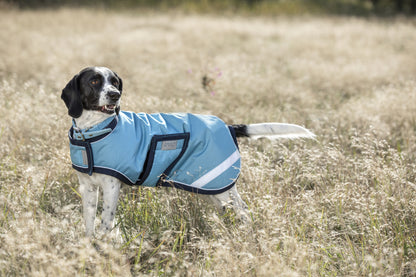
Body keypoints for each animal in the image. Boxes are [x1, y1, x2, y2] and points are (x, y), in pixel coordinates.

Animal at [61, 66, 316, 236]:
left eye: (115, 82)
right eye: (95, 81)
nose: (115, 95)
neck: (92, 132)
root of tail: (229, 127)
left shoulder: (112, 187)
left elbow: (105, 223)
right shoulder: (87, 187)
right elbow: (89, 223)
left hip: (222, 186)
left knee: (244, 211)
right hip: (211, 188)